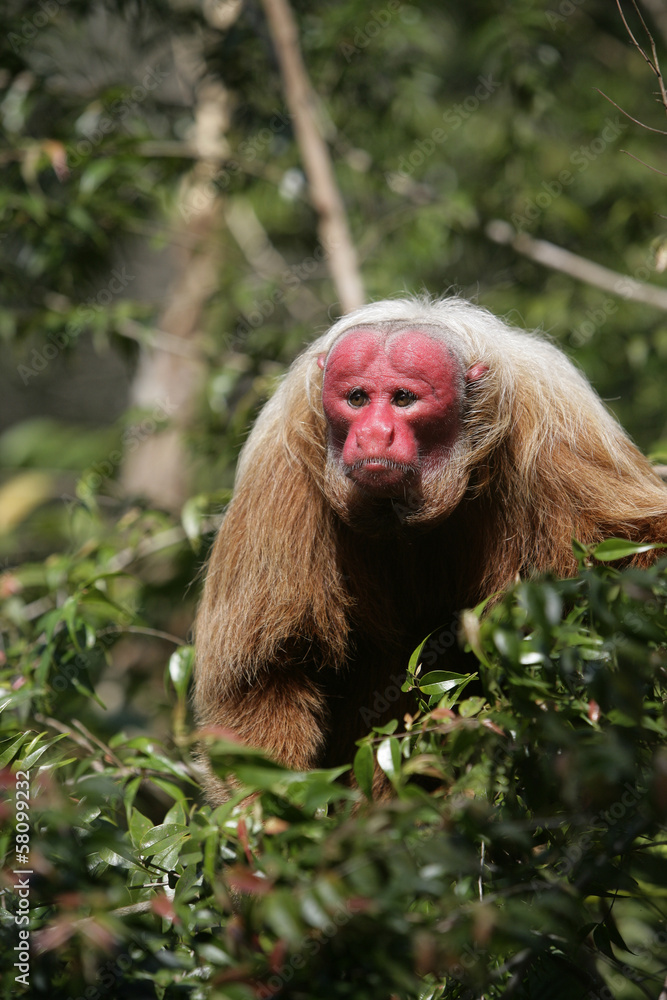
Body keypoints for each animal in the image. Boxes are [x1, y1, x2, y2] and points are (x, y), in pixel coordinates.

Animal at [194, 296, 667, 802]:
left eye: (403, 399)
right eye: (357, 399)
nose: (374, 434)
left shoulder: (560, 431)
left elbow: (640, 543)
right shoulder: (280, 463)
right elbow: (264, 677)